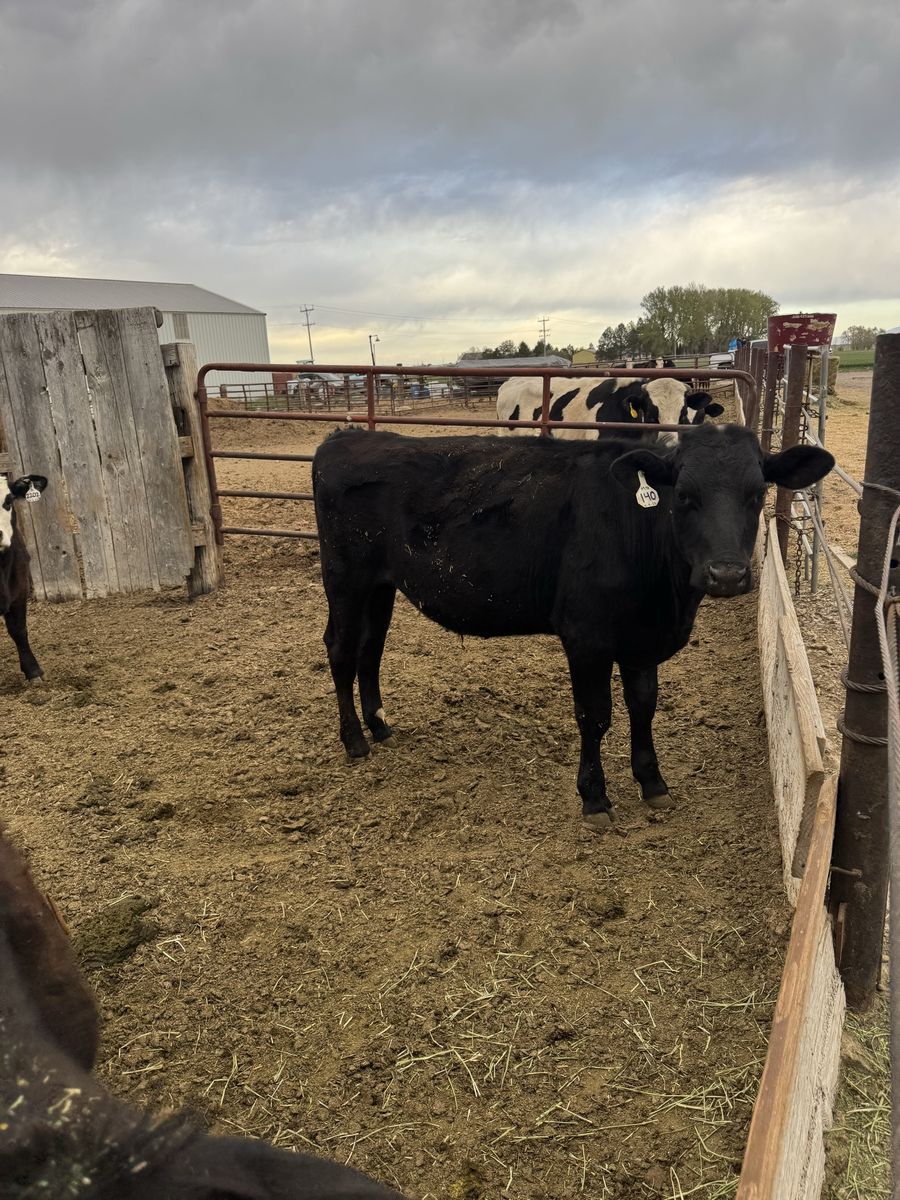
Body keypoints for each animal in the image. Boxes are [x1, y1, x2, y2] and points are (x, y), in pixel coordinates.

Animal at [312, 425, 833, 830]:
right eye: (684, 495)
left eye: (757, 494)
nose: (726, 574)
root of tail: (346, 436)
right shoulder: (586, 637)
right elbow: (595, 715)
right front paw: (595, 798)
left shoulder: (642, 641)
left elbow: (644, 708)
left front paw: (652, 782)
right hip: (345, 580)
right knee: (340, 649)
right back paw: (354, 739)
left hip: (381, 586)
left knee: (370, 649)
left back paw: (380, 726)